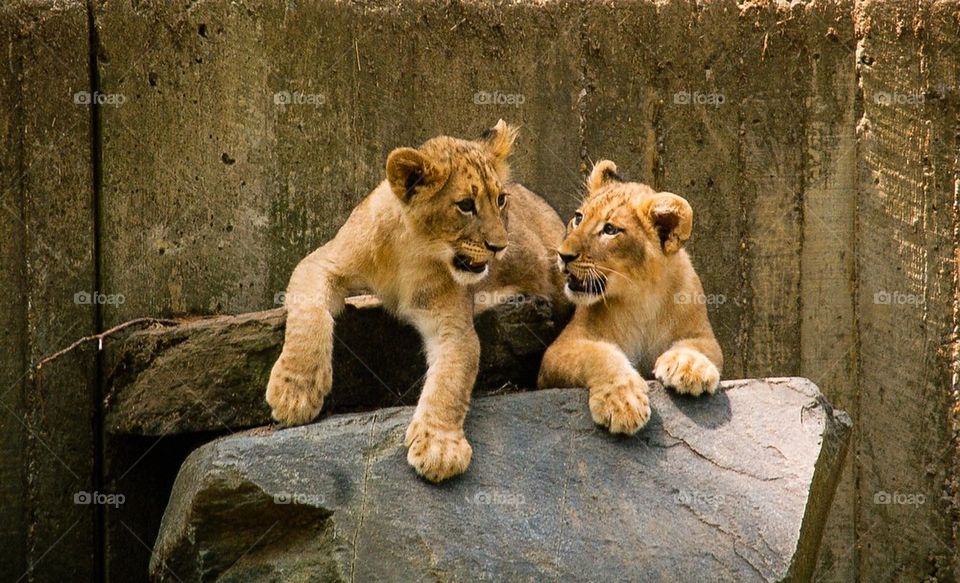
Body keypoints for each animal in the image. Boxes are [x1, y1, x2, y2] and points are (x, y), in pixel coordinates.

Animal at [266, 120, 565, 482]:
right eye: (466, 204)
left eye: (501, 200)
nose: (500, 247)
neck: (413, 250)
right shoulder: (321, 262)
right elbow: (309, 317)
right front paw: (294, 392)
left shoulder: (452, 324)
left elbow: (450, 381)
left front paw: (440, 446)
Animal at [537, 160, 723, 435]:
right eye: (578, 218)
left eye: (610, 229)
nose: (563, 255)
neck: (640, 297)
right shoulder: (557, 351)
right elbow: (599, 354)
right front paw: (622, 402)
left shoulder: (703, 334)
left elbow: (700, 347)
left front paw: (688, 367)